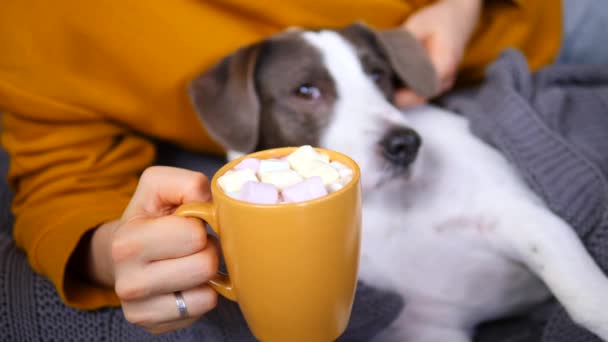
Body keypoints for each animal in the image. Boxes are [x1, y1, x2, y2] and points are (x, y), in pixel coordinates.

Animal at [188, 22, 608, 340]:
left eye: (379, 76)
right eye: (305, 90)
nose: (405, 145)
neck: (380, 208)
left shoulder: (524, 217)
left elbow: (588, 299)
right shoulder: (431, 327)